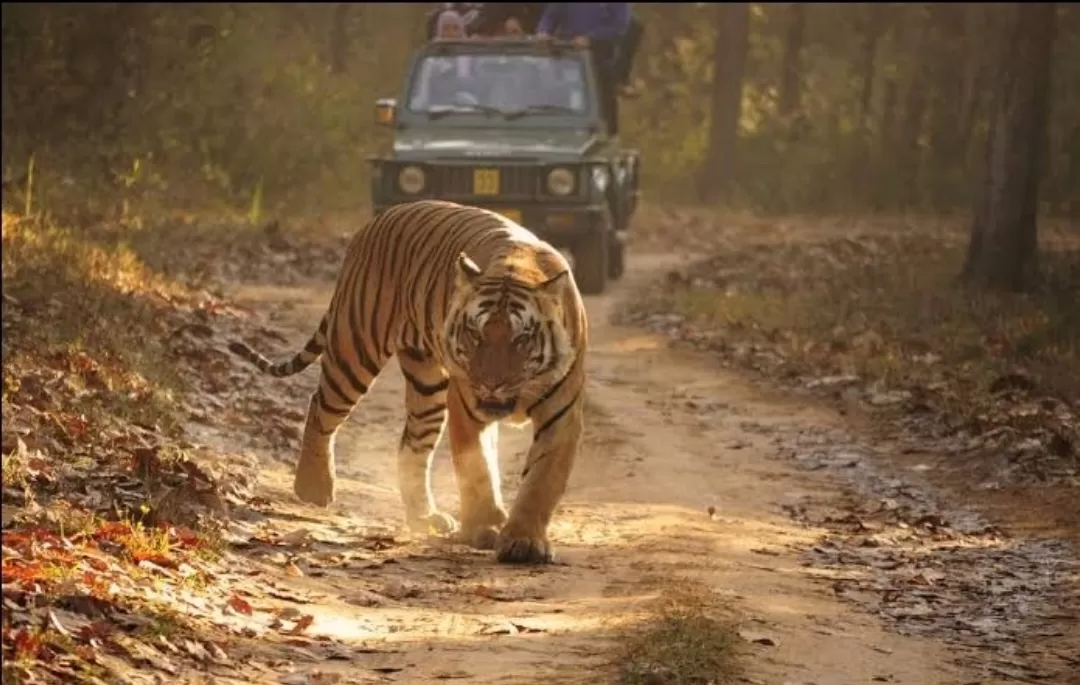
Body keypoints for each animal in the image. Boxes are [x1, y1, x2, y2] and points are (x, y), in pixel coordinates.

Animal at [223, 199, 587, 561]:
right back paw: (314, 487)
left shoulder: (561, 414)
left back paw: (424, 516)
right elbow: (477, 469)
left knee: (411, 445)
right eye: (475, 334)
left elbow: (542, 480)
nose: (490, 383)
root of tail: (376, 221)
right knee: (321, 407)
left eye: (521, 339)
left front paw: (524, 541)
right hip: (355, 348)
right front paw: (484, 527)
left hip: (427, 385)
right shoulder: (466, 405)